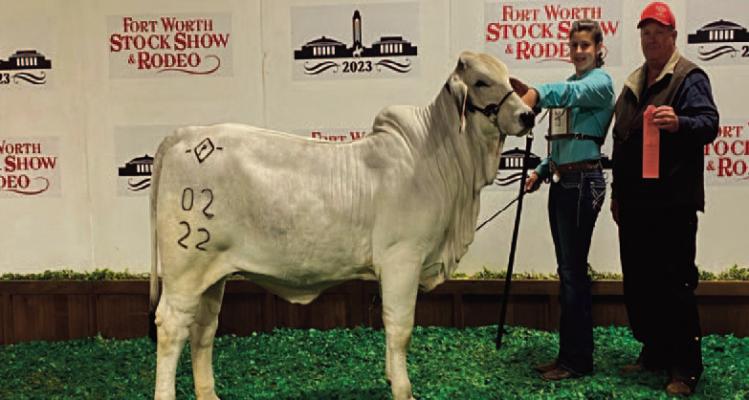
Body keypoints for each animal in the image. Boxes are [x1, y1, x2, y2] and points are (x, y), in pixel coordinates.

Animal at [149, 51, 535, 400]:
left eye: (509, 78)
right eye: (481, 81)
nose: (528, 115)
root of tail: (186, 134)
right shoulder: (402, 259)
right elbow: (400, 327)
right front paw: (403, 390)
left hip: (213, 274)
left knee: (203, 328)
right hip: (185, 267)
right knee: (171, 327)